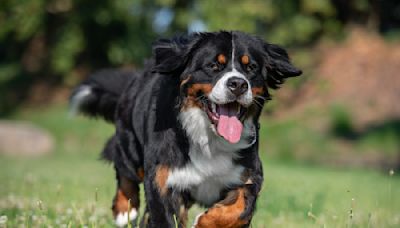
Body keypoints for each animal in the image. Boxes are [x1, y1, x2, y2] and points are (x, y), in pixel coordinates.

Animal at [70, 31, 302, 227]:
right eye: (213, 66)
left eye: (251, 67)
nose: (238, 84)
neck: (208, 139)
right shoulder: (163, 181)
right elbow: (164, 218)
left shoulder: (247, 176)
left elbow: (240, 210)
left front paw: (205, 222)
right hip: (130, 146)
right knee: (124, 170)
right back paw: (124, 211)